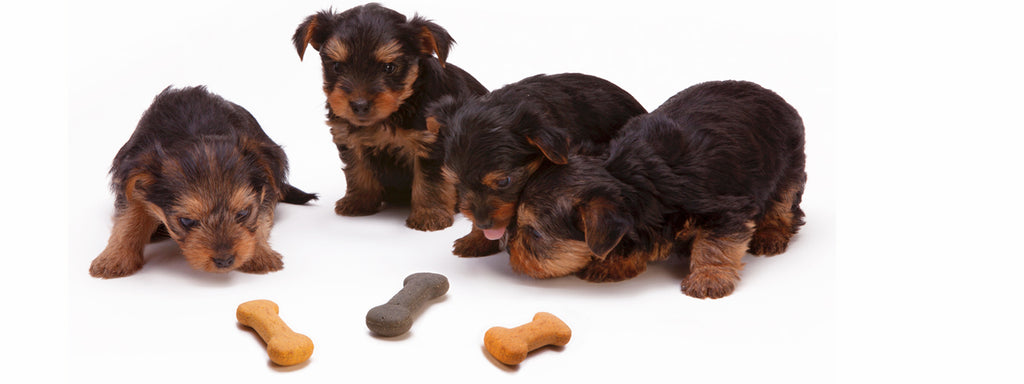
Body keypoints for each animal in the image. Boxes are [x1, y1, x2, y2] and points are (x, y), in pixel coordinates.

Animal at [90, 86, 317, 280]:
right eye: (186, 221)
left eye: (243, 213)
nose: (225, 260)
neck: (195, 131)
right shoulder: (133, 180)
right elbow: (127, 219)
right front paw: (114, 258)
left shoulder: (266, 185)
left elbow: (261, 218)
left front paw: (260, 254)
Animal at [292, 3, 487, 231]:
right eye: (337, 67)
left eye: (389, 67)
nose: (359, 105)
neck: (396, 110)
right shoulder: (349, 137)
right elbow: (357, 170)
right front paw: (359, 201)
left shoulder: (431, 142)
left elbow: (431, 180)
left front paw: (429, 214)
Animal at [509, 79, 806, 299]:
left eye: (534, 233)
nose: (509, 249)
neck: (628, 175)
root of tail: (772, 95)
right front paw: (614, 263)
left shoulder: (726, 209)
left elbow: (716, 243)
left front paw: (709, 277)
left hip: (789, 163)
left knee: (784, 203)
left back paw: (771, 234)